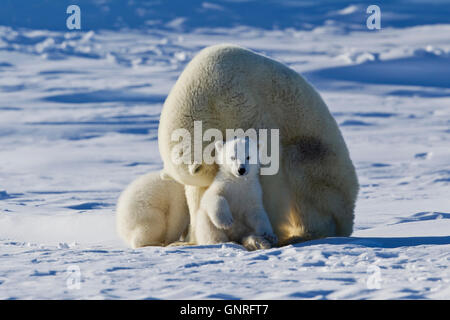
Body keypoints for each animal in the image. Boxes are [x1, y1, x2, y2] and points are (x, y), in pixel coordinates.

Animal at [158, 43, 358, 246]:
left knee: (302, 170)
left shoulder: (239, 100)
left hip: (324, 169)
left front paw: (265, 231)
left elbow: (269, 160)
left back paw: (302, 234)